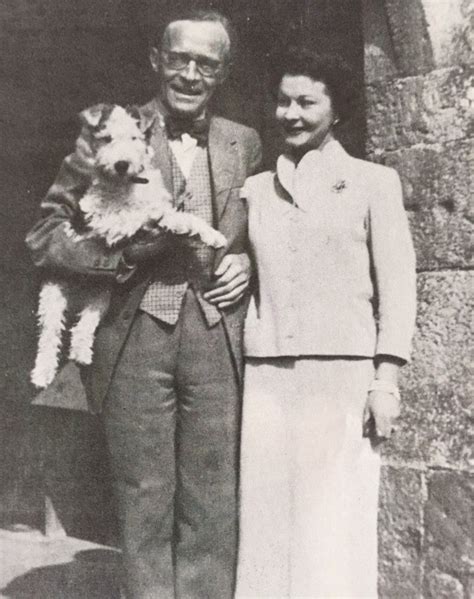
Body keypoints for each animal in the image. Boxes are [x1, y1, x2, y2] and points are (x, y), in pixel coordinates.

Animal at [32, 103, 228, 390]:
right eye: (106, 138)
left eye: (135, 138)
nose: (122, 164)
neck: (130, 184)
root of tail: (79, 293)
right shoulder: (105, 220)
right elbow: (147, 215)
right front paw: (165, 224)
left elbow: (181, 217)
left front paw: (212, 235)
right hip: (53, 292)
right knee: (49, 335)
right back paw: (42, 375)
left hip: (101, 296)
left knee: (83, 326)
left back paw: (82, 354)